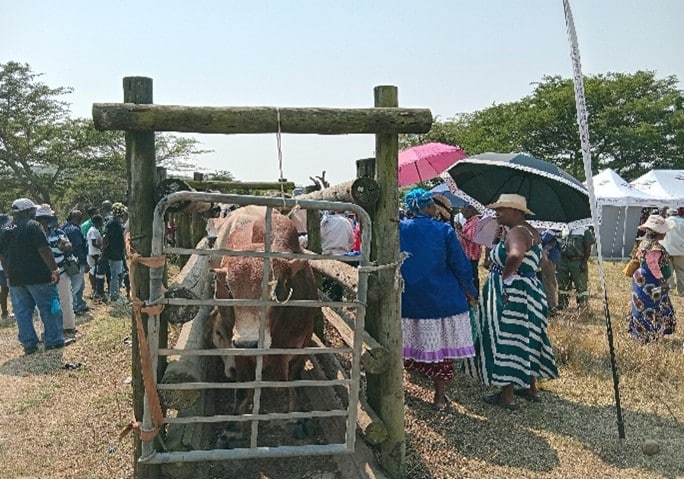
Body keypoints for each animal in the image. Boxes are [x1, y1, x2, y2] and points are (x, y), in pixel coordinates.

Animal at [209, 211, 318, 447]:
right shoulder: (238, 352)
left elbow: (295, 381)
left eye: (276, 288)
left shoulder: (301, 345)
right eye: (229, 288)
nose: (249, 343)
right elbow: (242, 390)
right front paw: (232, 429)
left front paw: (296, 419)